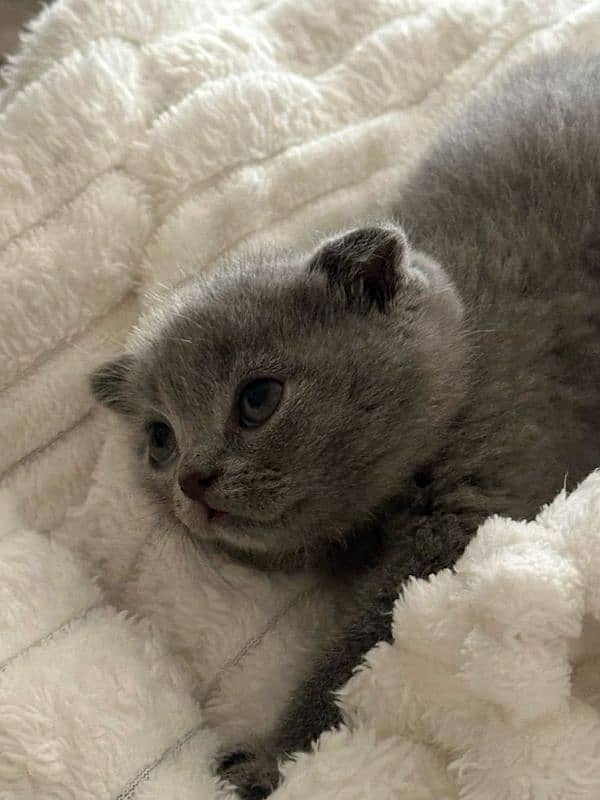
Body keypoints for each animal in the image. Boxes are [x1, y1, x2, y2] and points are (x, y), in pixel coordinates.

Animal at [90, 53, 600, 796]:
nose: (192, 480)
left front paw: (269, 760)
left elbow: (361, 659)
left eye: (258, 399)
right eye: (160, 439)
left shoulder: (468, 516)